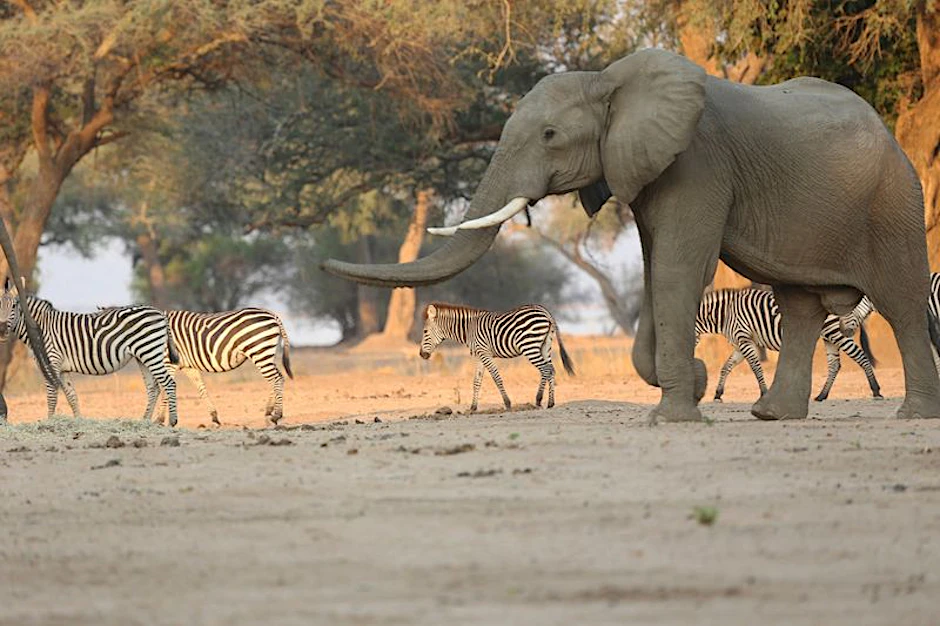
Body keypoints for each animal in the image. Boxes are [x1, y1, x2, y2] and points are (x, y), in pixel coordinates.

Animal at [0, 278, 179, 425]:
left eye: (14, 306)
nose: (2, 330)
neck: (39, 327)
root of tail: (159, 312)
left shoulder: (51, 362)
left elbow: (52, 396)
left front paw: (49, 423)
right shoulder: (62, 369)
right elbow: (71, 396)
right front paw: (78, 421)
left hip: (150, 351)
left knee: (169, 382)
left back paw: (172, 421)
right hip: (143, 356)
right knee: (153, 387)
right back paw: (144, 421)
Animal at [155, 308, 293, 426]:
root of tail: (272, 315)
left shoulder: (168, 363)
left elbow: (165, 390)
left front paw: (159, 420)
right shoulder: (187, 366)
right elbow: (201, 388)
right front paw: (214, 417)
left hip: (259, 352)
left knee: (276, 379)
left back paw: (276, 415)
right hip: (266, 354)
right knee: (278, 378)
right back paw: (269, 411)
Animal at [419, 302, 575, 412]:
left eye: (425, 331)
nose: (422, 354)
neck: (468, 329)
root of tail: (545, 311)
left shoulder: (485, 353)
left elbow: (496, 377)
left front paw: (507, 403)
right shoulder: (480, 355)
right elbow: (477, 381)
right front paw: (473, 407)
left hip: (529, 345)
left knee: (545, 369)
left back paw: (538, 399)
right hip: (545, 345)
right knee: (551, 369)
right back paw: (550, 403)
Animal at [695, 288, 881, 402]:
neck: (725, 314)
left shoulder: (745, 339)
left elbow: (756, 368)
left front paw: (764, 393)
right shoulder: (742, 344)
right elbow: (726, 367)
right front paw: (718, 394)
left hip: (837, 332)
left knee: (860, 356)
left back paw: (876, 390)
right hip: (830, 336)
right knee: (835, 365)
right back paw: (822, 395)